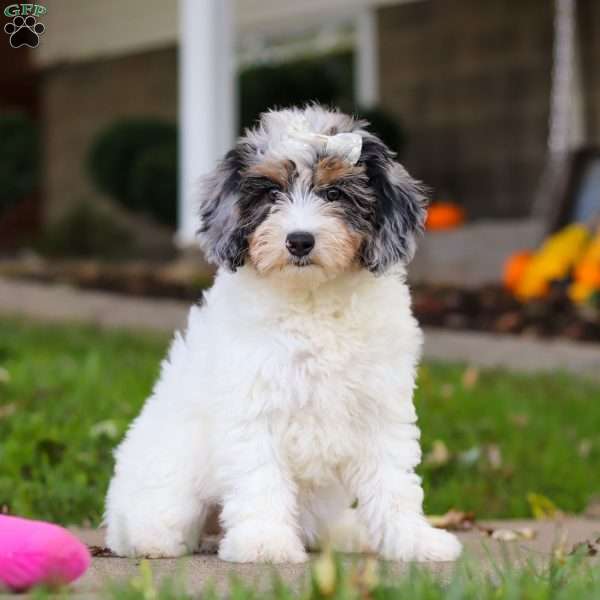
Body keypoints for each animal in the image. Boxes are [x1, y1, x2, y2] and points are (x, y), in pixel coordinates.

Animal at [105, 104, 462, 564]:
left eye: (334, 194)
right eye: (271, 194)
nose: (299, 241)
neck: (311, 299)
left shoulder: (379, 406)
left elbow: (395, 481)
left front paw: (413, 540)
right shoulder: (254, 406)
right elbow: (261, 477)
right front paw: (264, 543)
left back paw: (345, 533)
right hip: (169, 473)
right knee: (157, 516)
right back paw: (151, 538)